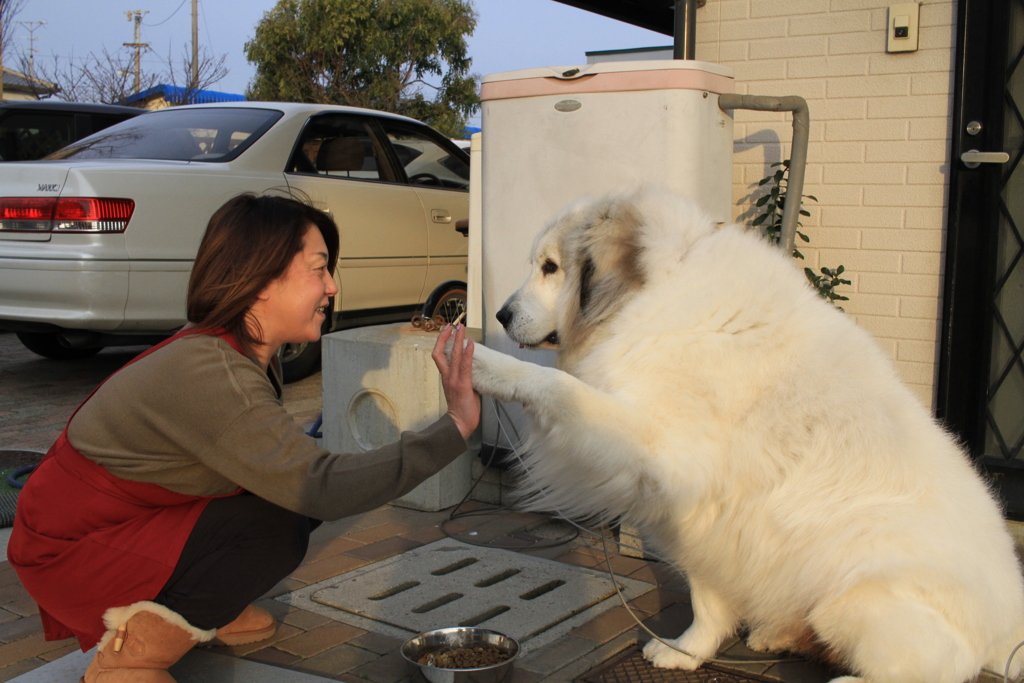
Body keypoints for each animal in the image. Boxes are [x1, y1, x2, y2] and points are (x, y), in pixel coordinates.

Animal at [468, 188, 1024, 683]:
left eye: (550, 268)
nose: (499, 315)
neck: (653, 292)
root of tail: (1009, 628)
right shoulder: (703, 512)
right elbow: (707, 595)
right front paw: (689, 651)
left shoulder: (659, 453)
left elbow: (557, 386)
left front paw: (486, 363)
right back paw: (775, 634)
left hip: (855, 598)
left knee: (941, 668)